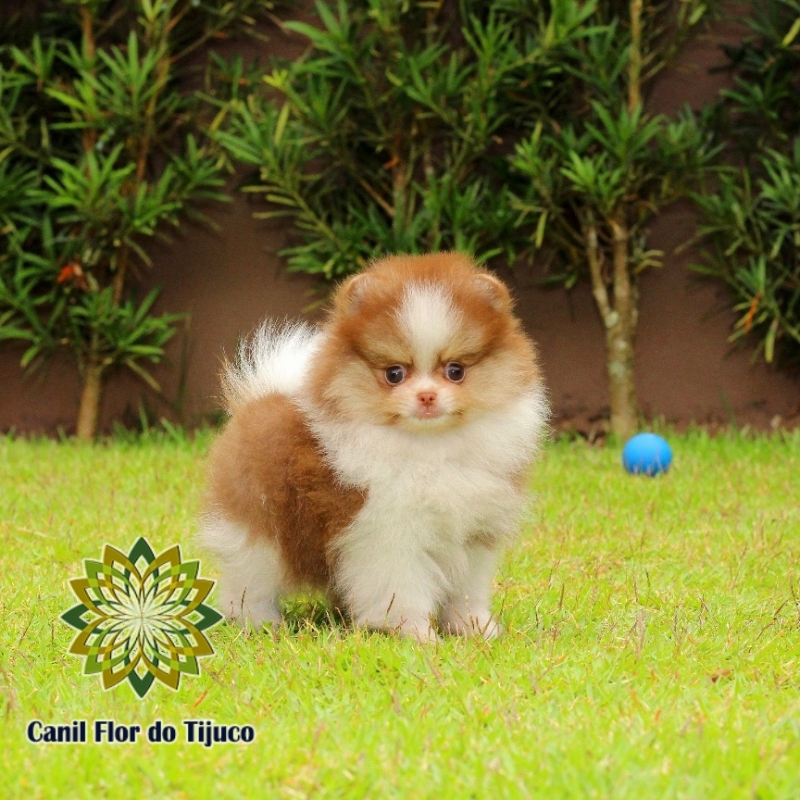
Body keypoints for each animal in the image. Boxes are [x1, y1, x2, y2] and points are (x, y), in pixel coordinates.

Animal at [203, 253, 548, 640]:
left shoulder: (473, 533)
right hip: (260, 525)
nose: (426, 396)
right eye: (394, 373)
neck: (431, 449)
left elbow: (465, 590)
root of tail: (264, 396)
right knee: (250, 577)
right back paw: (259, 622)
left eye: (456, 371)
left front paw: (473, 627)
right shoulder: (387, 532)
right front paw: (415, 633)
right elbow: (401, 589)